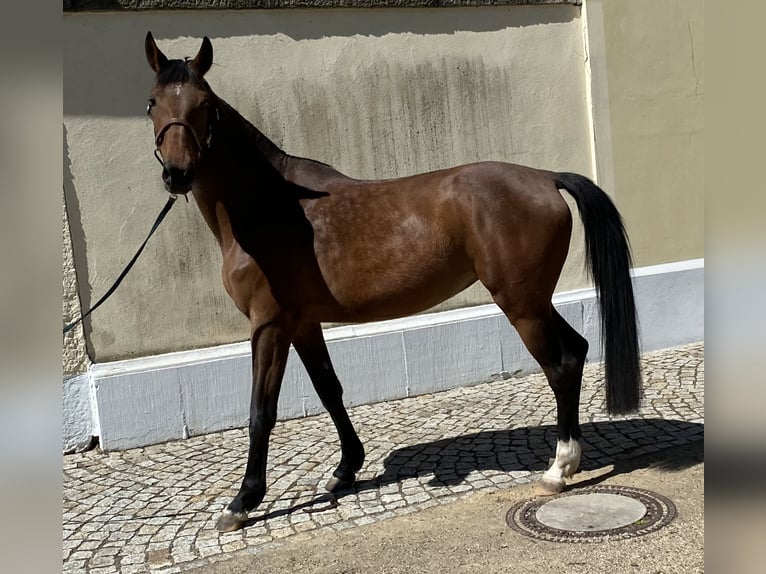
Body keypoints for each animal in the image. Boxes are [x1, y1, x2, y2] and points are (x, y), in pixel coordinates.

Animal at [143, 32, 641, 533]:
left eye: (204, 104)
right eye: (152, 103)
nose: (176, 174)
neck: (271, 206)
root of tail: (545, 178)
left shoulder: (268, 324)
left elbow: (261, 410)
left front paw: (243, 500)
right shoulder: (302, 323)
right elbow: (329, 390)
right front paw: (345, 470)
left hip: (522, 305)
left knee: (559, 365)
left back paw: (558, 470)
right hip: (536, 301)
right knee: (576, 351)